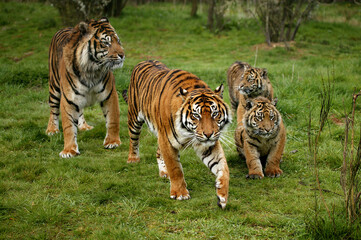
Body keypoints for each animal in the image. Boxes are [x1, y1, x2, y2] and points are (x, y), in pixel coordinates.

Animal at [45, 17, 124, 158]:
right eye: (106, 43)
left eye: (118, 41)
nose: (122, 54)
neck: (91, 70)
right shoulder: (68, 99)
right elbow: (68, 127)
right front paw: (69, 150)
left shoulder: (109, 94)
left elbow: (113, 119)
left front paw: (113, 142)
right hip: (54, 87)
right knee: (53, 109)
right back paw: (52, 129)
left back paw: (84, 126)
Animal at [124, 59, 231, 208]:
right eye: (196, 115)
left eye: (215, 114)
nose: (208, 134)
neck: (189, 132)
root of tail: (145, 60)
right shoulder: (167, 141)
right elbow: (175, 168)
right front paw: (180, 193)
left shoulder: (207, 144)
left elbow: (223, 167)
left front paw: (222, 194)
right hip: (134, 118)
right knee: (133, 140)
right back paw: (133, 159)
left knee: (158, 152)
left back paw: (164, 172)